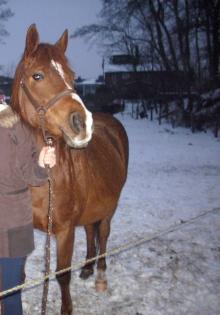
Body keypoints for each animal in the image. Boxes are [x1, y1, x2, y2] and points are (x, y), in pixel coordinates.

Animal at [10, 25, 128, 315]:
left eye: (73, 76)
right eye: (37, 75)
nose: (82, 123)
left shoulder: (64, 230)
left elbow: (62, 275)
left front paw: (67, 308)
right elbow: (20, 278)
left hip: (109, 207)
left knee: (103, 235)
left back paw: (100, 276)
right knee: (90, 231)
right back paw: (86, 267)